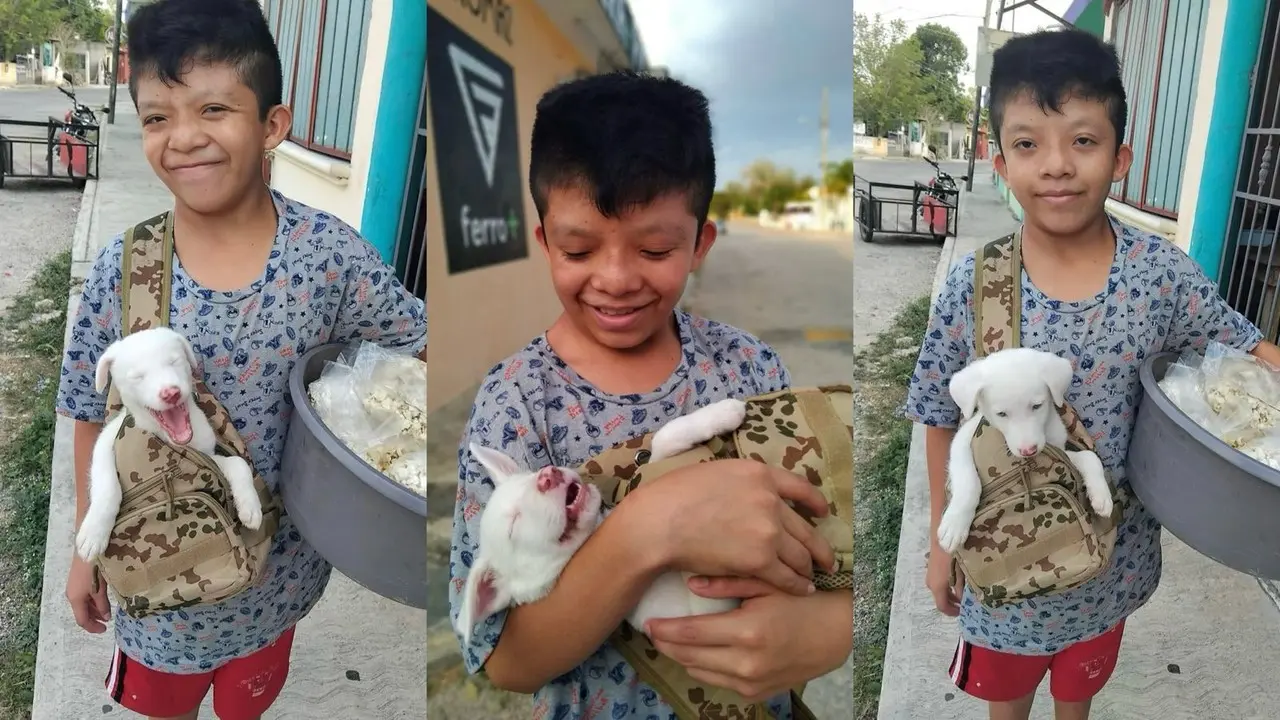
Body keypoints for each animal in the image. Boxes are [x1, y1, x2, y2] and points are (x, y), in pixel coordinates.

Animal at [74, 325, 262, 561]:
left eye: (174, 361)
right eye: (137, 377)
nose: (171, 393)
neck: (168, 437)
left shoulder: (207, 455)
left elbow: (238, 463)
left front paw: (250, 506)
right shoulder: (106, 439)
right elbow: (107, 484)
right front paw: (94, 533)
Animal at [458, 397, 747, 638]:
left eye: (531, 476)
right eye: (513, 525)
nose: (547, 475)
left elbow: (661, 444)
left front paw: (720, 413)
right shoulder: (695, 613)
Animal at [936, 351, 1116, 550]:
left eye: (1037, 406)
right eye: (1001, 414)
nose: (1028, 451)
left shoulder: (1058, 449)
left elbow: (1090, 456)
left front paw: (1101, 495)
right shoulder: (962, 439)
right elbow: (967, 479)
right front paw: (955, 524)